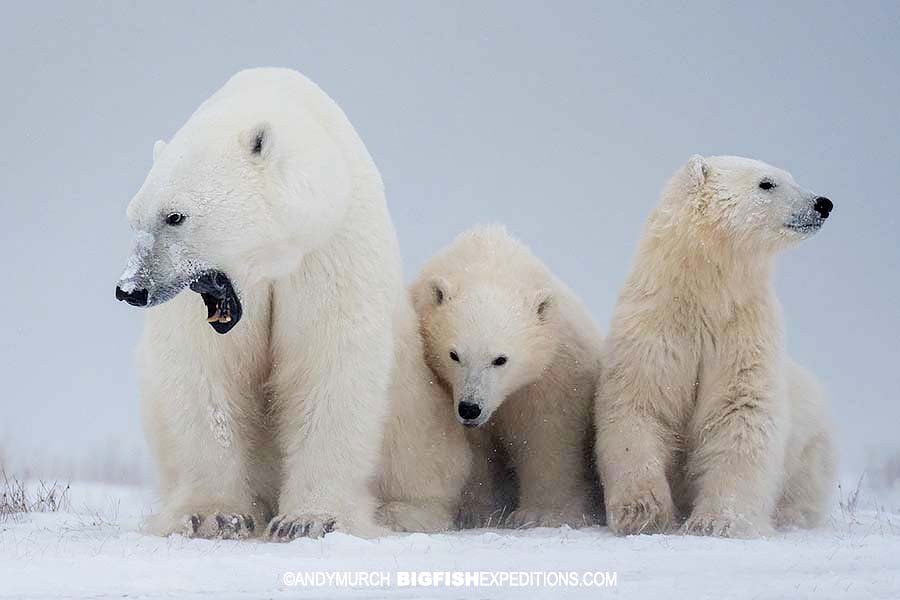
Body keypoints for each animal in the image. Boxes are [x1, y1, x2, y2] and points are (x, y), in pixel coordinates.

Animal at [116, 68, 402, 540]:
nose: (130, 289)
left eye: (175, 216)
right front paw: (212, 515)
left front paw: (309, 520)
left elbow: (329, 364)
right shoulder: (200, 303)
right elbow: (204, 374)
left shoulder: (328, 253)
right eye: (134, 219)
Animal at [410, 225, 604, 528]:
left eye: (500, 359)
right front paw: (477, 512)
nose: (470, 408)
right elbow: (475, 453)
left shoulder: (552, 371)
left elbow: (548, 433)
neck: (492, 261)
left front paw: (541, 514)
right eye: (454, 354)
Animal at [595, 155, 836, 538]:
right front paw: (643, 513)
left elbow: (740, 411)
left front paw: (719, 522)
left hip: (811, 449)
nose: (823, 203)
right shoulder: (654, 329)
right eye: (767, 183)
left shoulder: (742, 334)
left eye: (791, 177)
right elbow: (639, 405)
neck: (704, 297)